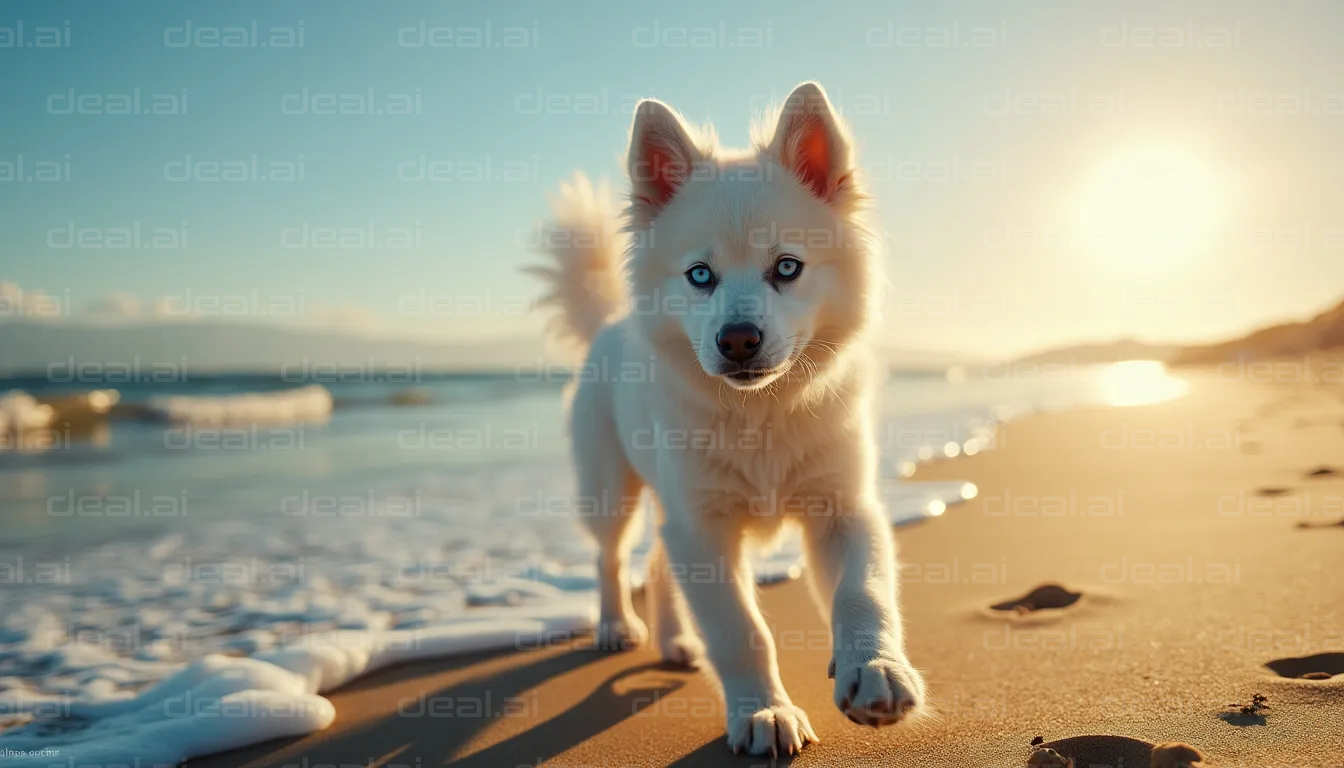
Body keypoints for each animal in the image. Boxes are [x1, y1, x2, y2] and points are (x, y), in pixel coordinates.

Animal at [526, 81, 924, 753]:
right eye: (699, 275)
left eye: (787, 267)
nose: (738, 340)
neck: (758, 414)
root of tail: (608, 325)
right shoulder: (704, 528)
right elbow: (742, 631)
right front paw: (763, 713)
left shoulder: (841, 508)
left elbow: (860, 593)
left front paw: (874, 670)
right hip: (612, 490)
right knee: (611, 556)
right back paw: (616, 626)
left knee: (657, 565)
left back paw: (676, 641)